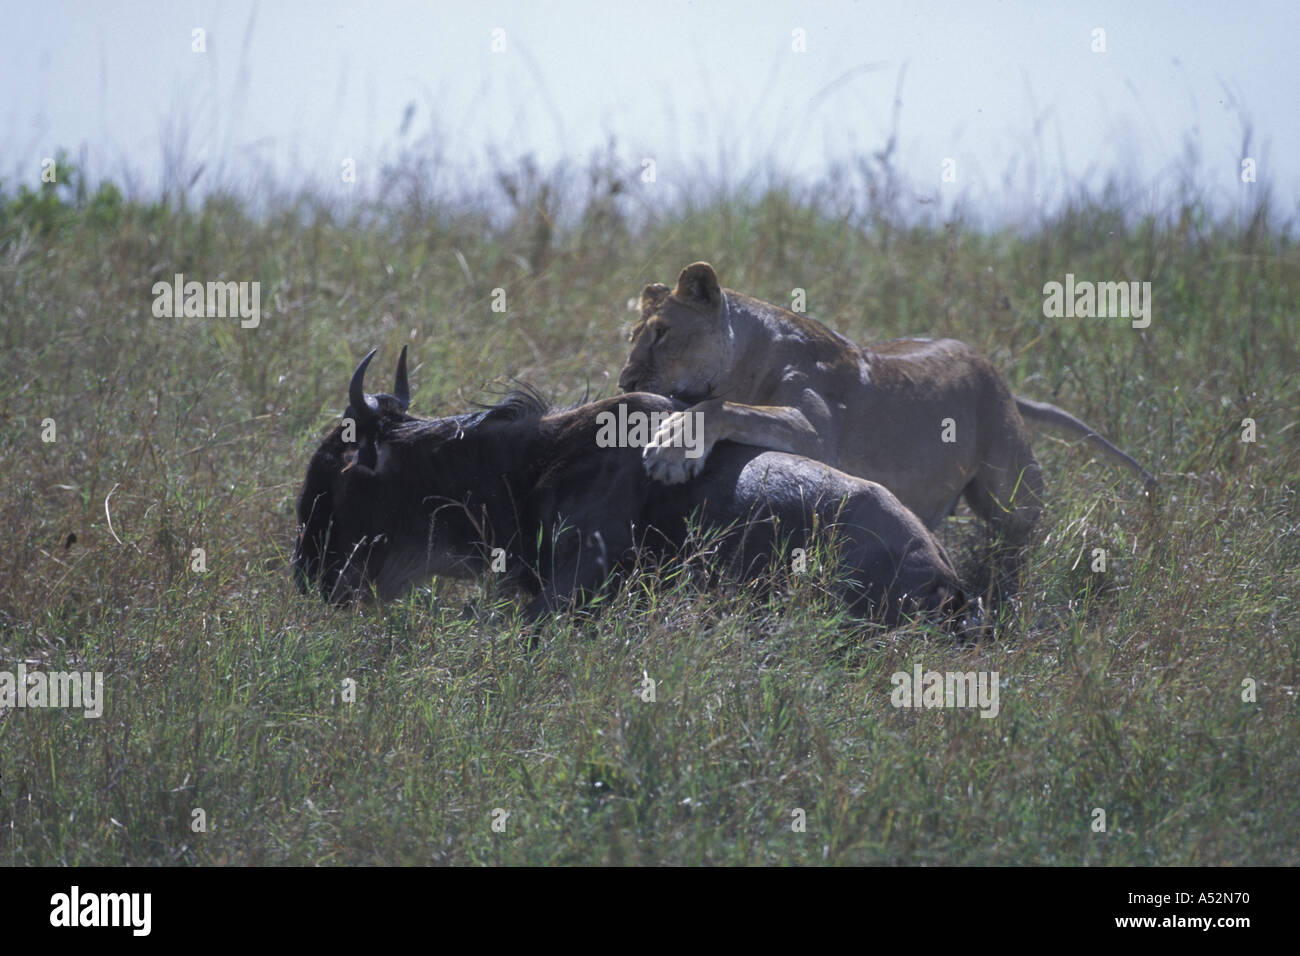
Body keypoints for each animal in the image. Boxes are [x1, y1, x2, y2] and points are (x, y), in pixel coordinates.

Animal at [617, 261, 1156, 547]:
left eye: (662, 334)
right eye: (631, 337)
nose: (624, 382)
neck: (747, 355)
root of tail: (995, 370)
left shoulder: (816, 433)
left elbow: (720, 408)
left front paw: (671, 449)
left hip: (1011, 490)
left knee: (1025, 519)